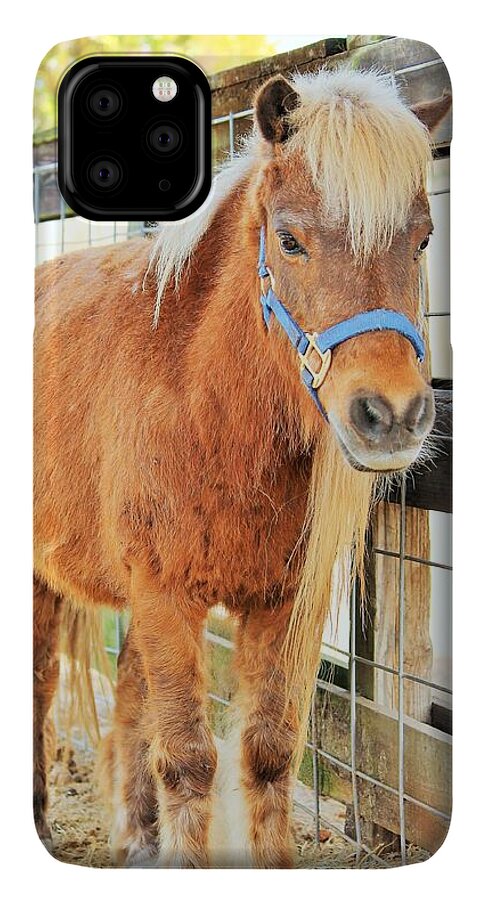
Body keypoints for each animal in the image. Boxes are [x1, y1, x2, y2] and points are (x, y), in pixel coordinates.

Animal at [33, 67, 451, 867]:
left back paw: (137, 838)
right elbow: (189, 759)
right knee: (41, 682)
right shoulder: (165, 596)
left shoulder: (282, 604)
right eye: (288, 241)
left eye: (423, 239)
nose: (391, 415)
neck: (205, 406)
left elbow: (267, 752)